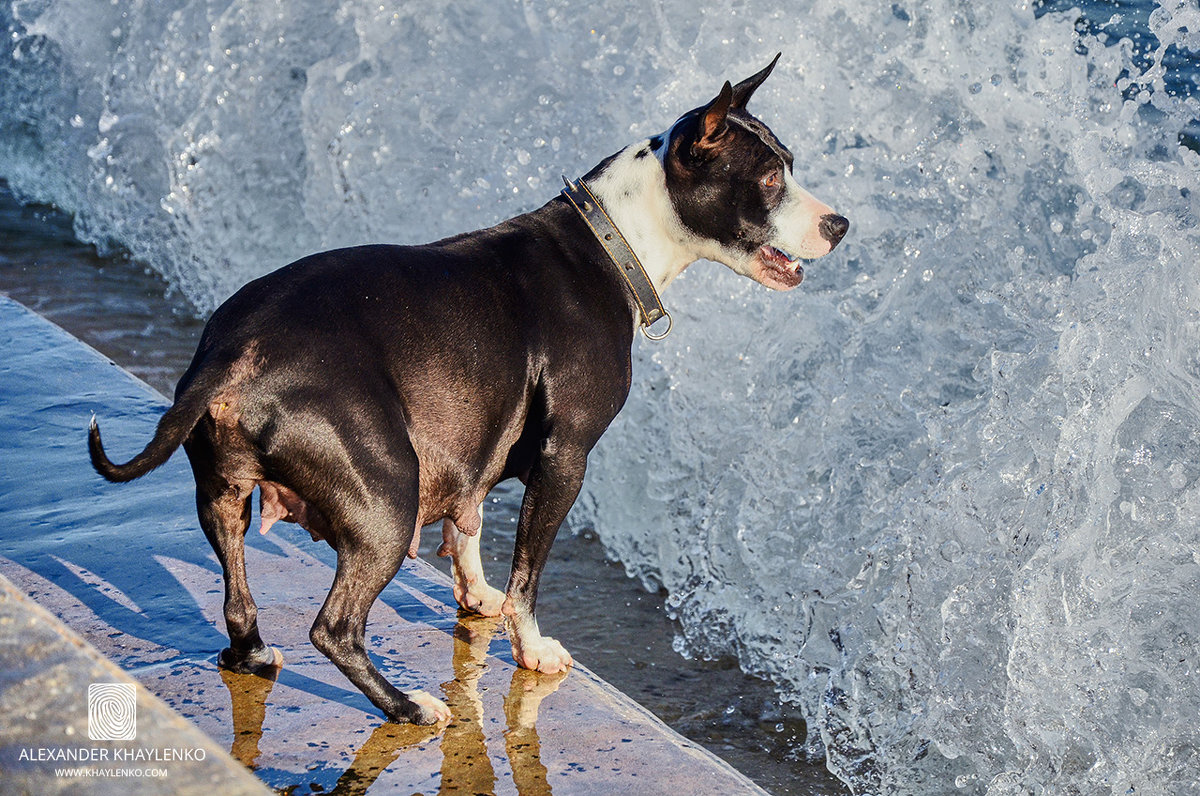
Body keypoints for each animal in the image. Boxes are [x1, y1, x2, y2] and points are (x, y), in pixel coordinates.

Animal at [88, 57, 849, 729]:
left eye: (790, 164)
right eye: (770, 177)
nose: (840, 225)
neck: (614, 239)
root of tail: (230, 355)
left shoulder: (471, 431)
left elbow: (470, 517)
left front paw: (476, 593)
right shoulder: (564, 460)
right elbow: (527, 574)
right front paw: (531, 646)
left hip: (223, 494)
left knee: (239, 592)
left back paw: (252, 654)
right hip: (385, 495)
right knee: (335, 627)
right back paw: (407, 706)